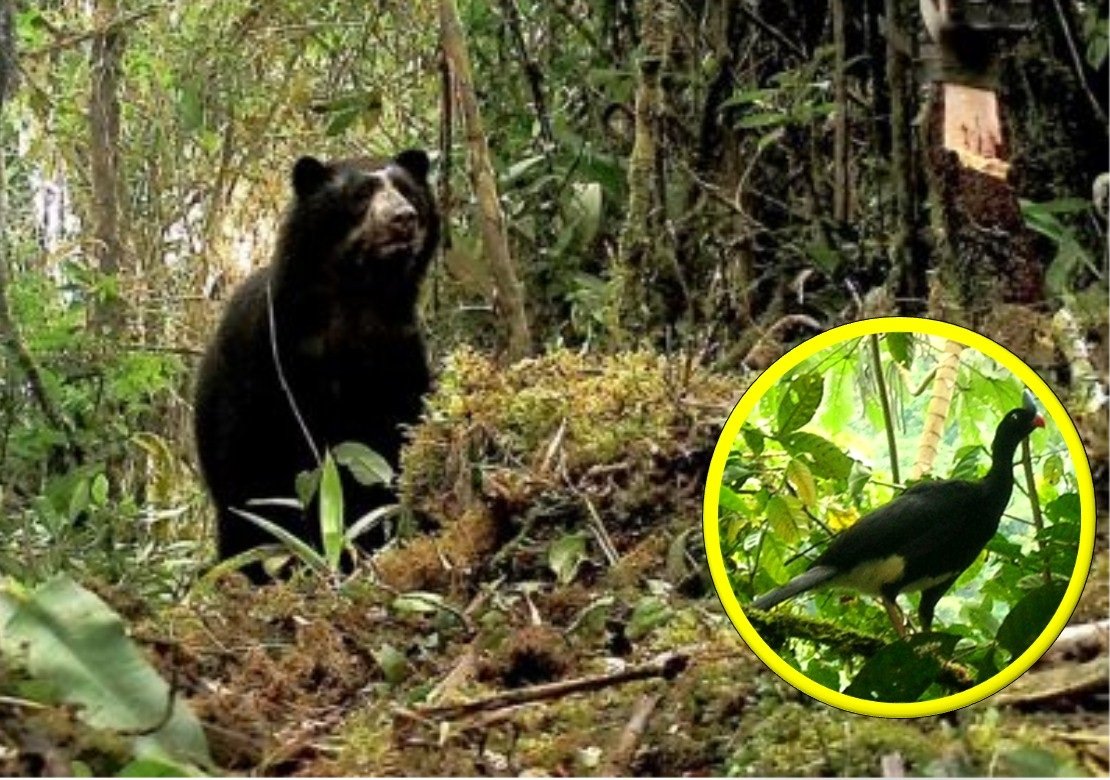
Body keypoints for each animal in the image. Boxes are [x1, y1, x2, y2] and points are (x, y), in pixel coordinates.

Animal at [193, 147, 439, 581]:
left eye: (408, 191)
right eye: (361, 195)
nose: (404, 217)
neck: (358, 296)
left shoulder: (399, 356)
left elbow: (397, 440)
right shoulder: (268, 359)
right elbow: (253, 470)